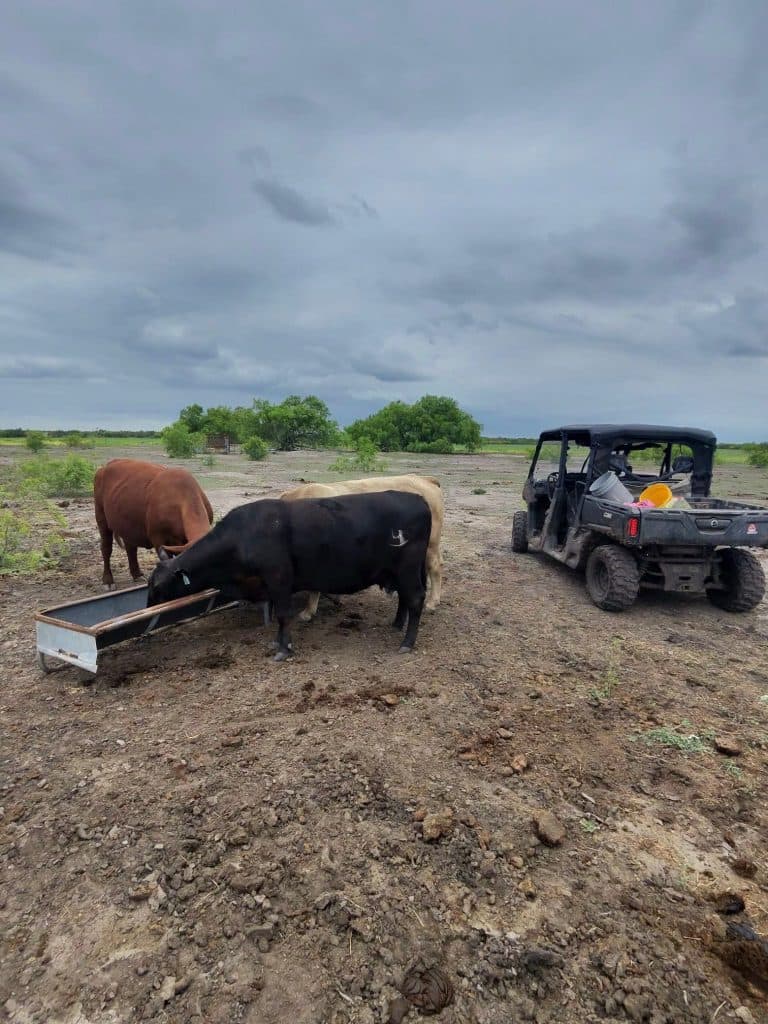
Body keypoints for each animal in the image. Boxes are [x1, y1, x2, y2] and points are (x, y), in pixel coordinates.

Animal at [94, 459, 214, 589]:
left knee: (131, 547)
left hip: (126, 523)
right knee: (106, 548)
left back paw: (137, 574)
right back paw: (108, 580)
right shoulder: (158, 538)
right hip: (101, 516)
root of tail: (108, 465)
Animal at [146, 490, 432, 661]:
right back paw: (397, 624)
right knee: (404, 599)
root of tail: (419, 499)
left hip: (407, 570)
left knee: (415, 599)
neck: (243, 536)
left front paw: (284, 649)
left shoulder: (279, 578)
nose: (148, 607)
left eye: (157, 587)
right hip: (399, 572)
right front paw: (278, 643)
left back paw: (407, 642)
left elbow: (284, 615)